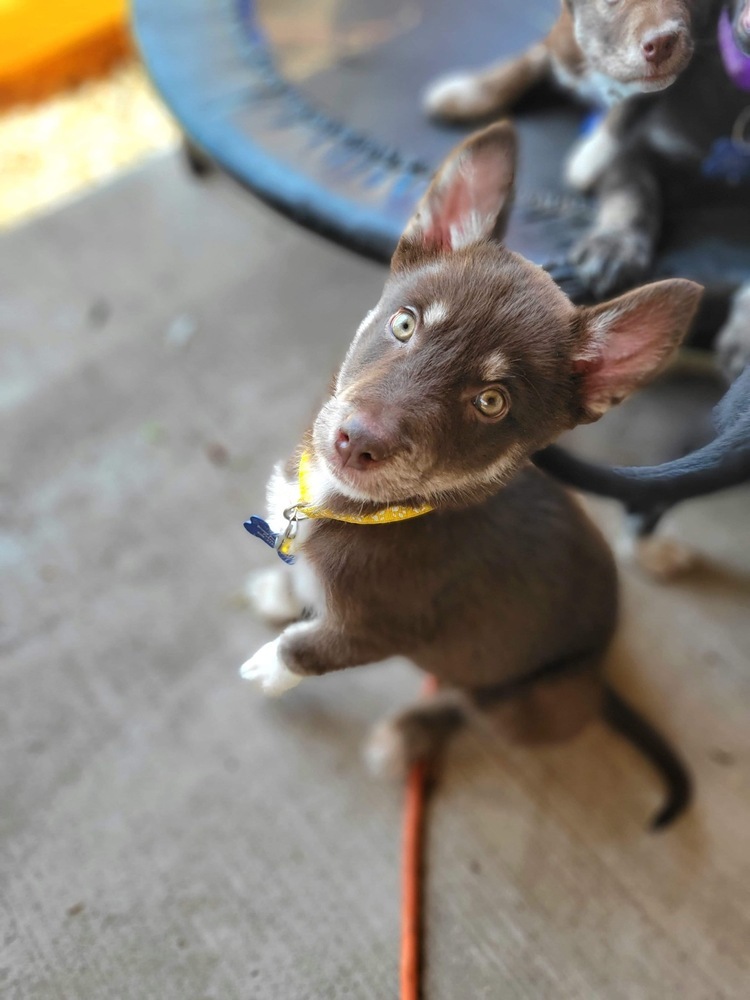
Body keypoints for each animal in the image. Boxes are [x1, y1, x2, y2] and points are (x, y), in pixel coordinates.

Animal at [242, 123, 704, 828]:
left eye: (492, 401)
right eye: (404, 323)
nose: (356, 442)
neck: (366, 506)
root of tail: (600, 676)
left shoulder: (381, 629)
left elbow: (312, 647)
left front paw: (273, 665)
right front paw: (281, 589)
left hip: (517, 699)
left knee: (466, 702)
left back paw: (409, 732)